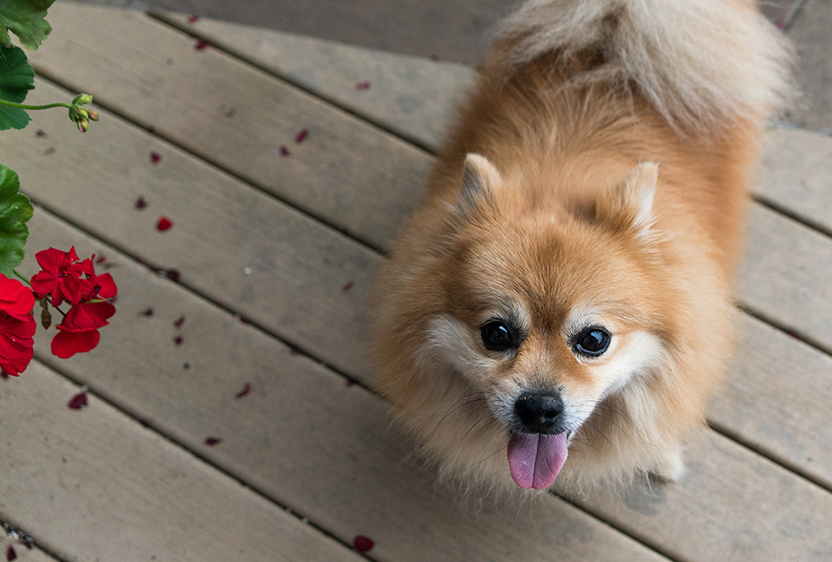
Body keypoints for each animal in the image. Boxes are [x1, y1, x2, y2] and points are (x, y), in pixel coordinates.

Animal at [370, 0, 792, 490]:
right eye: (496, 333)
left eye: (594, 340)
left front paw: (660, 452)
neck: (560, 181)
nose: (539, 407)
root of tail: (609, 37)